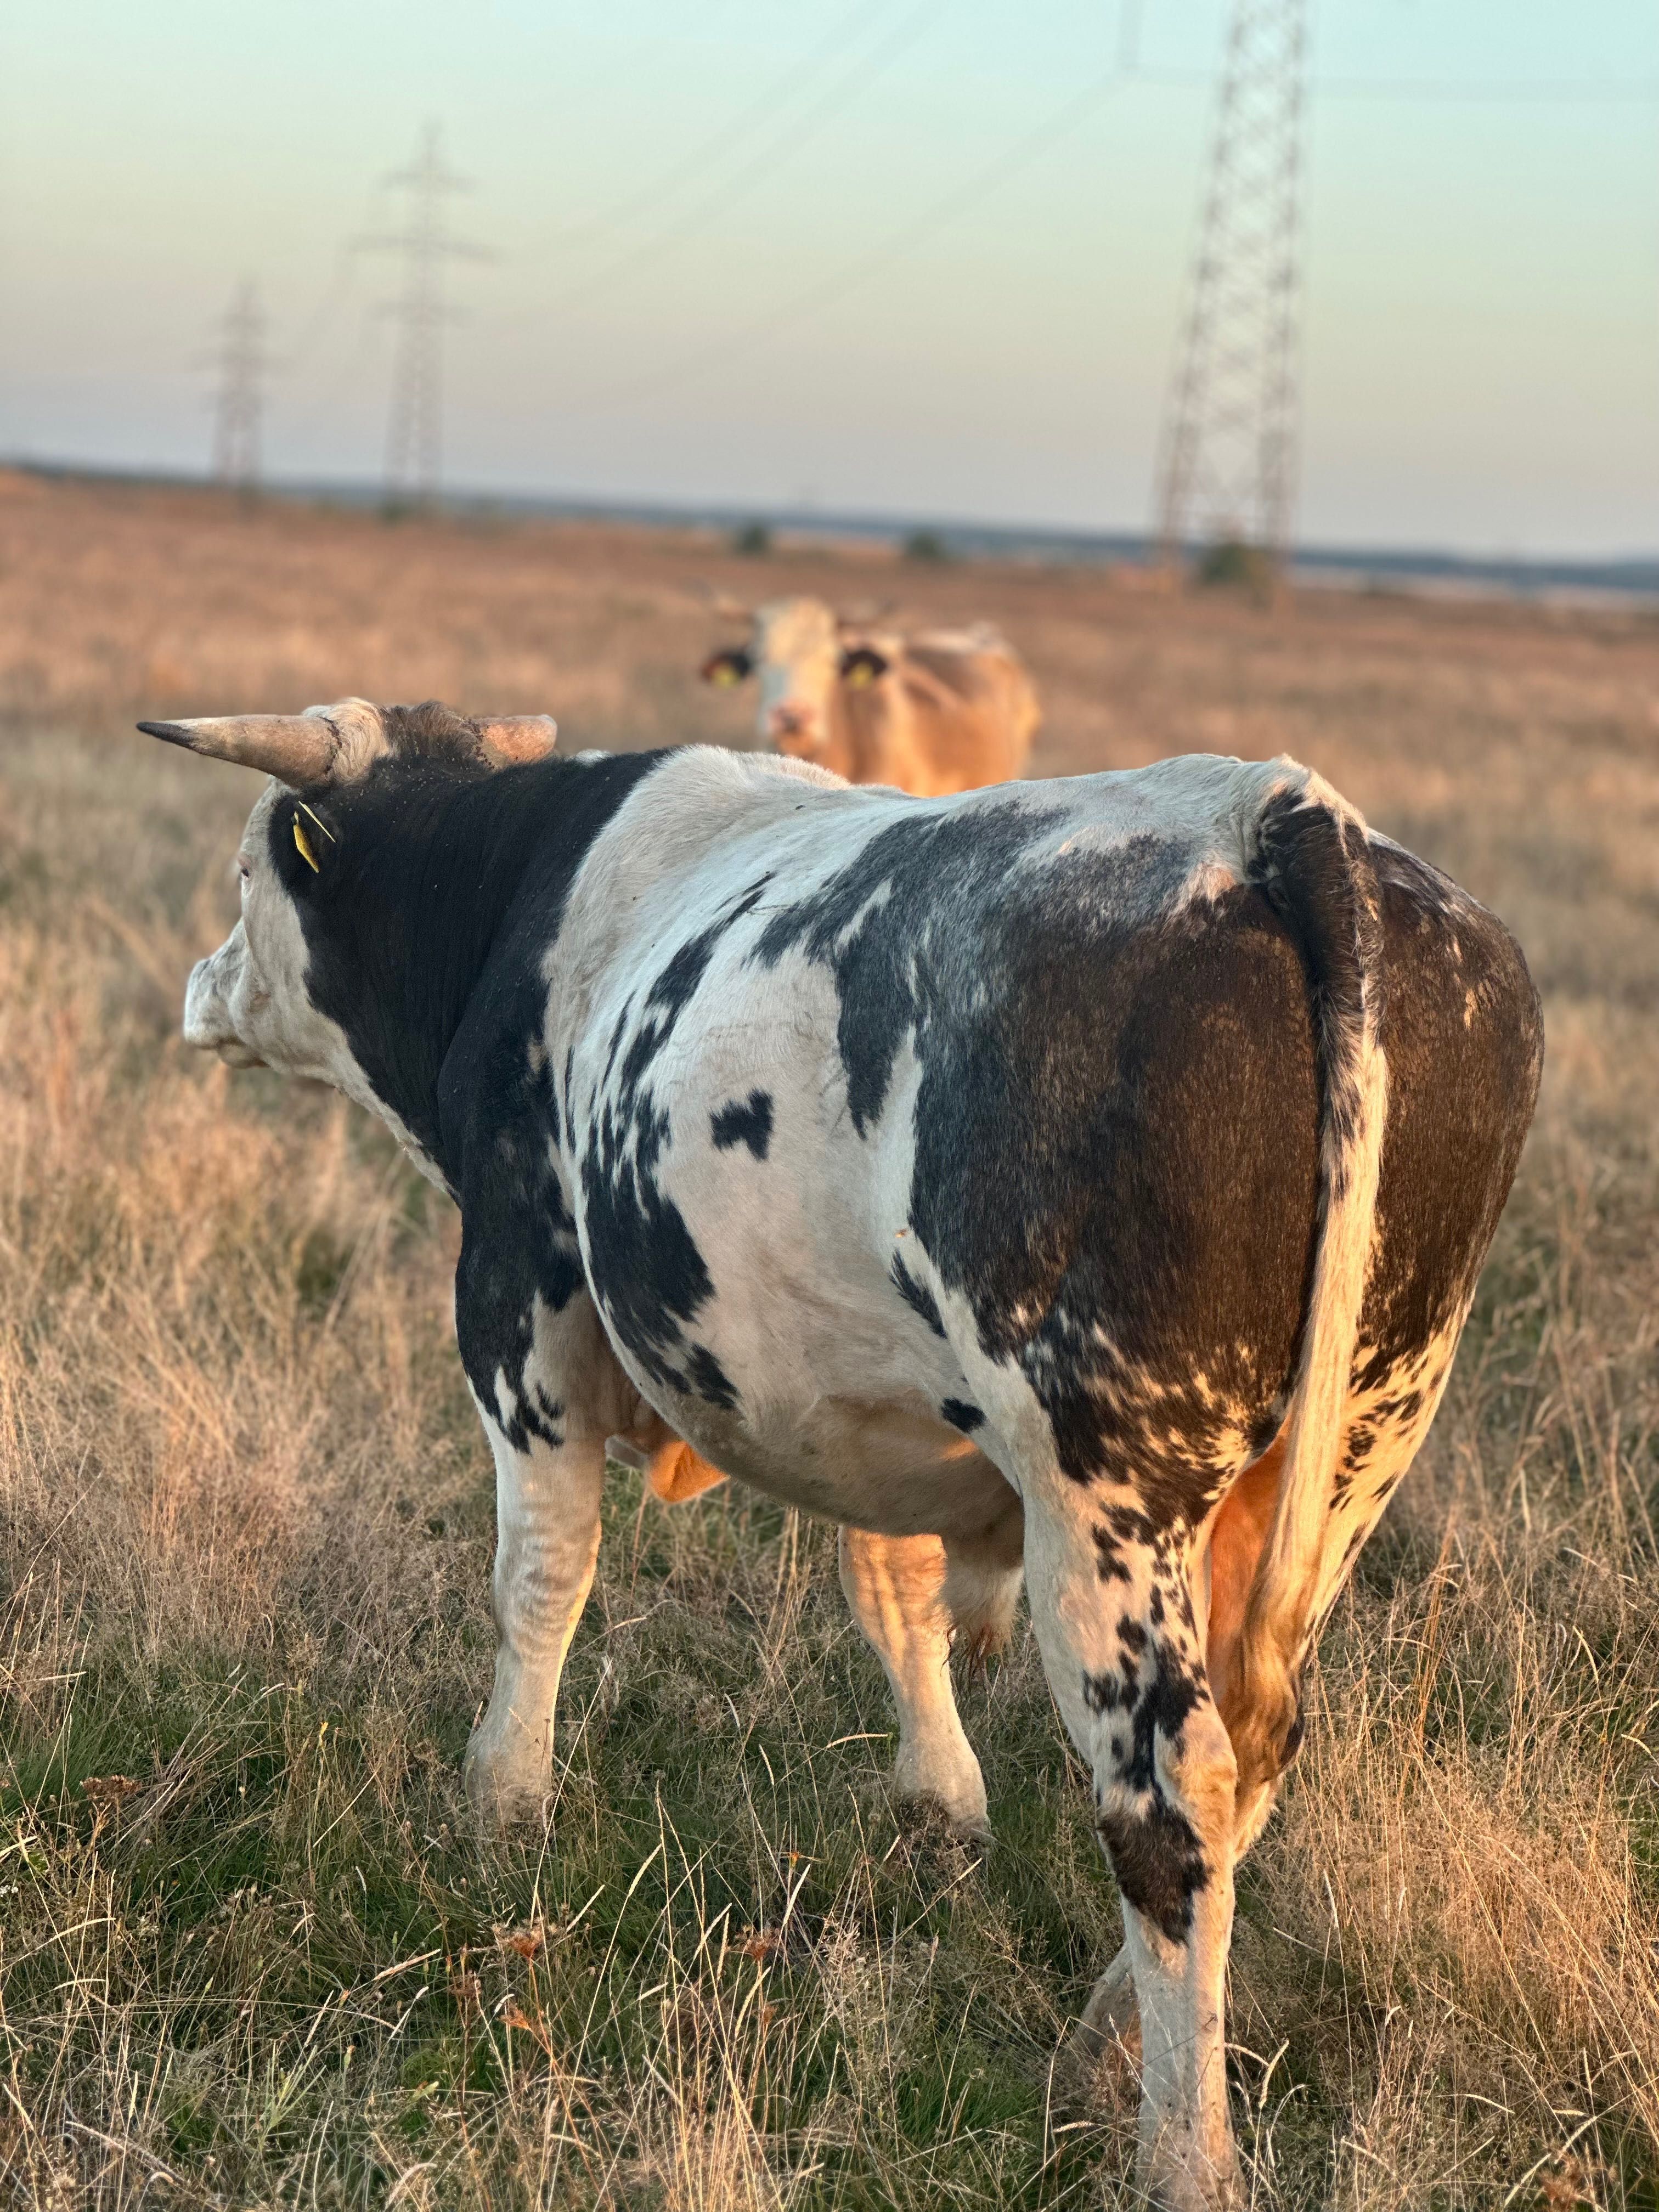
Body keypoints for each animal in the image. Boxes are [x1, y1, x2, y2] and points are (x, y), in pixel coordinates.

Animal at [140, 695, 1548, 2212]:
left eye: (248, 871)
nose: (202, 986)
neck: (517, 892)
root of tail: (1272, 810)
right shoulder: (863, 1395)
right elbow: (894, 1597)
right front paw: (939, 1802)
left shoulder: (522, 1304)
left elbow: (542, 1581)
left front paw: (502, 1805)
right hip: (1353, 1453)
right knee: (1260, 1748)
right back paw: (1097, 2048)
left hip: (1104, 1490)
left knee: (1175, 1801)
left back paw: (1184, 2149)